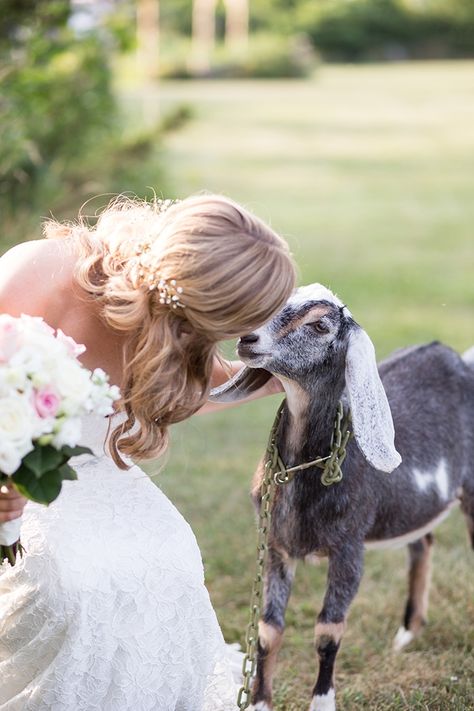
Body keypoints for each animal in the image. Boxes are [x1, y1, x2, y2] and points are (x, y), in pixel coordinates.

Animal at [211, 284, 474, 711]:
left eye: (320, 325)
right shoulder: (277, 546)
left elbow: (328, 631)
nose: (248, 339)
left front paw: (322, 702)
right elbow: (269, 630)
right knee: (423, 542)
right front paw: (260, 701)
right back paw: (407, 633)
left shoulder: (349, 547)